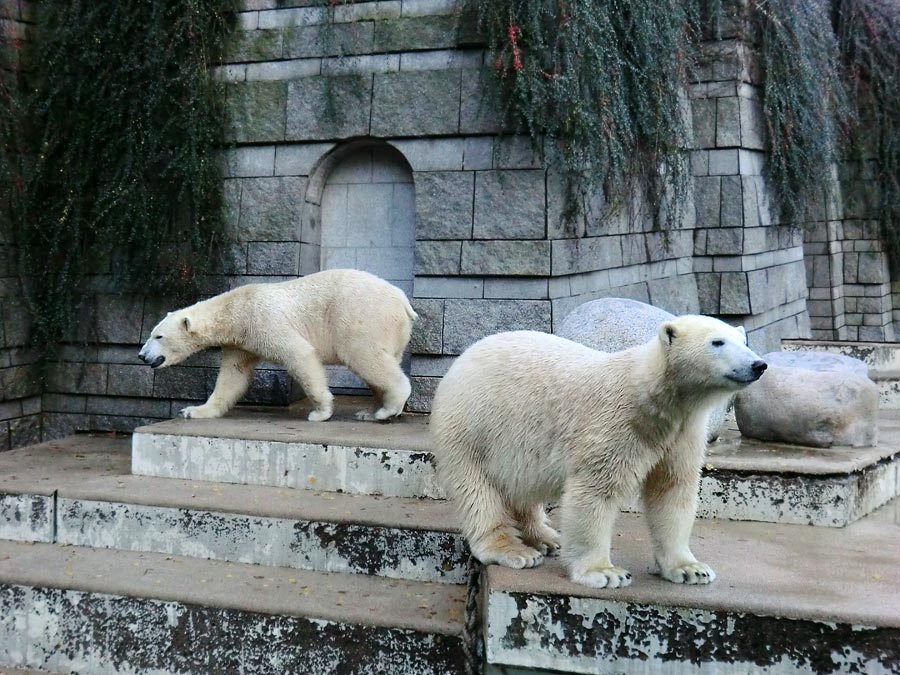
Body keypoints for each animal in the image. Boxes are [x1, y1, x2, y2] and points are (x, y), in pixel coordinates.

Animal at [138, 270, 418, 422]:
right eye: (151, 333)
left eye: (158, 336)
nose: (141, 355)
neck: (235, 310)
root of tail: (402, 300)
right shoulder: (240, 342)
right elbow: (232, 376)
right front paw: (194, 410)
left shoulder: (263, 321)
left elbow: (299, 354)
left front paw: (321, 412)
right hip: (392, 331)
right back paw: (371, 411)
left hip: (360, 317)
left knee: (363, 355)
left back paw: (387, 410)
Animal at [430, 314, 768, 588]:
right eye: (717, 342)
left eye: (744, 340)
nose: (759, 364)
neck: (651, 399)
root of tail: (462, 358)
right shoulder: (614, 425)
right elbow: (595, 492)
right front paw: (604, 573)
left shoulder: (682, 435)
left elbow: (673, 491)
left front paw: (690, 569)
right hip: (473, 427)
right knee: (478, 491)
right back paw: (514, 550)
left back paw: (546, 538)